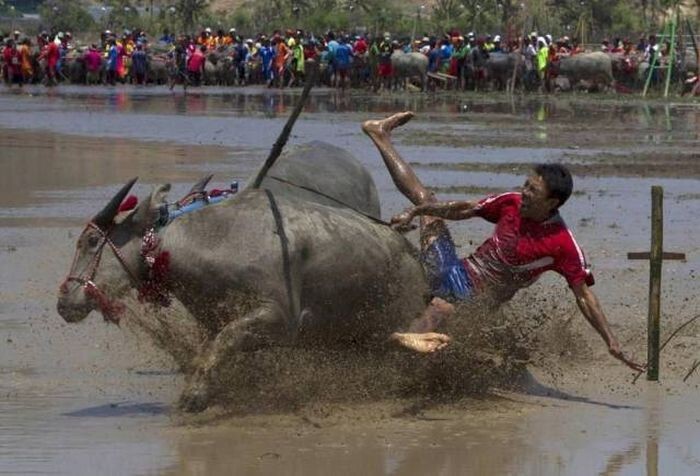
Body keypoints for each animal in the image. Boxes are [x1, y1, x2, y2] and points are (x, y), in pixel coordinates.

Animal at [56, 140, 426, 410]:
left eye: (91, 241)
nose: (64, 302)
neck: (210, 242)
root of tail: (415, 258)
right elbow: (217, 346)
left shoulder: (278, 317)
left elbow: (225, 340)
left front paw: (194, 395)